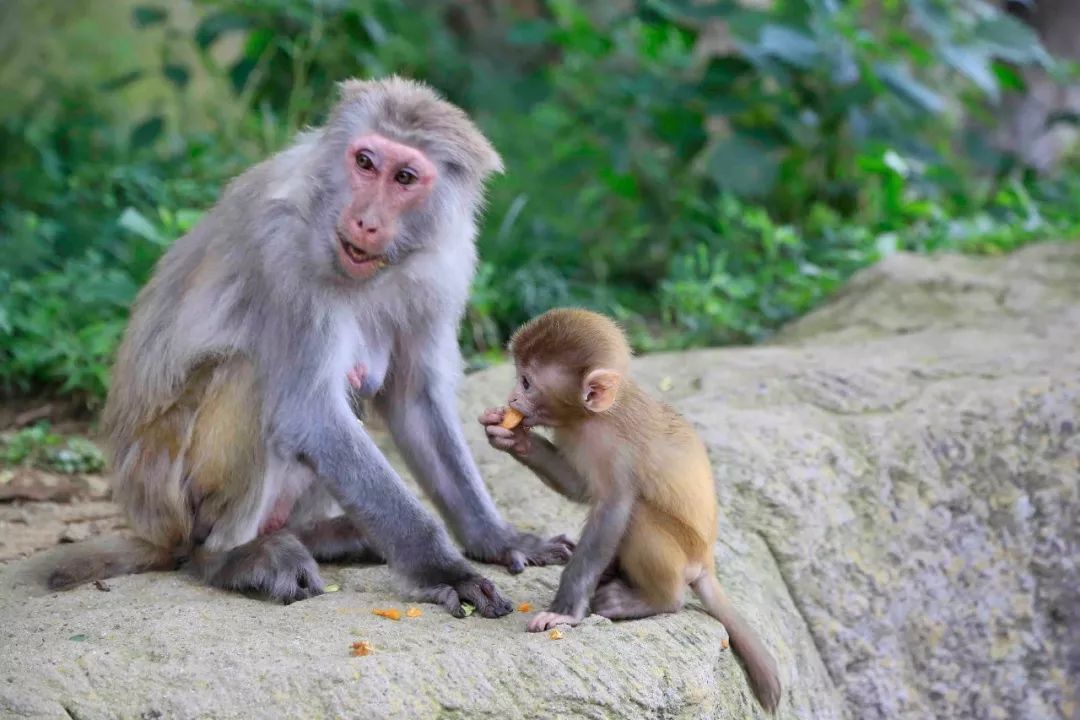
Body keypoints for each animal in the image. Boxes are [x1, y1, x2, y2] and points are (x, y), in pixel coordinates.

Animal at [48, 80, 574, 621]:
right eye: (365, 162)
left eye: (405, 177)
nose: (364, 221)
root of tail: (147, 520)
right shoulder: (283, 255)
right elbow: (311, 415)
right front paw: (445, 570)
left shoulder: (442, 269)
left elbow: (413, 402)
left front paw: (497, 538)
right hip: (169, 492)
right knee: (251, 376)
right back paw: (230, 557)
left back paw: (321, 536)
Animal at [486, 306, 781, 712]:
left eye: (527, 383)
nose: (513, 397)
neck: (591, 417)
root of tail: (707, 560)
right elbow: (582, 489)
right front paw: (512, 438)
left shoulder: (616, 449)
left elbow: (613, 507)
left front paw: (564, 612)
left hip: (683, 553)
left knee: (639, 515)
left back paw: (654, 600)